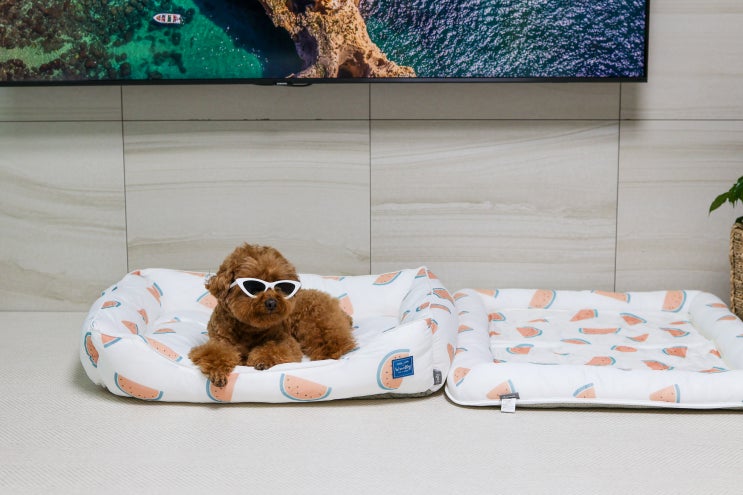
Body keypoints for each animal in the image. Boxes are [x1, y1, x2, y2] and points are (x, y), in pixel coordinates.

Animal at [189, 243, 356, 387]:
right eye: (254, 287)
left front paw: (262, 360)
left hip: (316, 320)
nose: (271, 302)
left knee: (336, 340)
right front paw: (217, 371)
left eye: (281, 285)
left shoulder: (286, 341)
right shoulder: (219, 341)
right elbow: (216, 352)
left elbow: (273, 348)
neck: (248, 328)